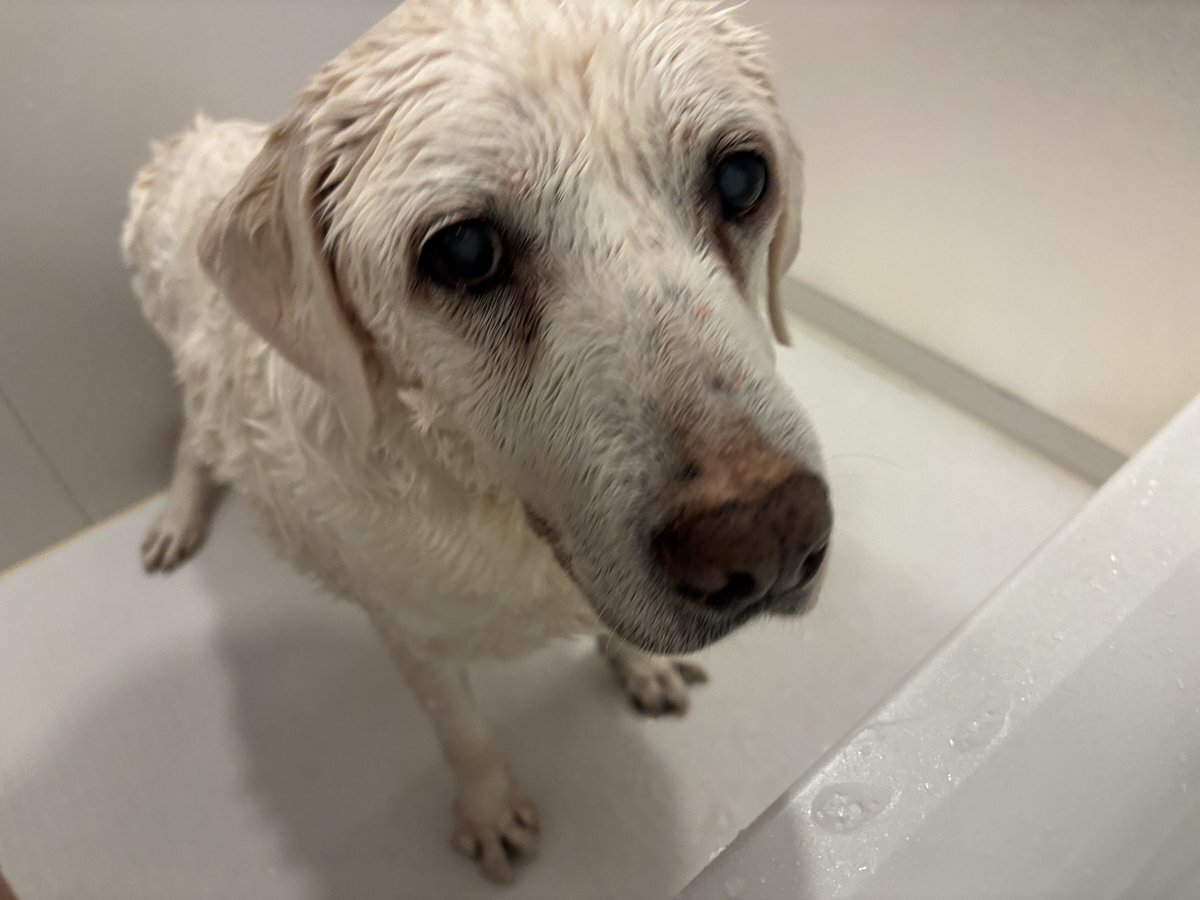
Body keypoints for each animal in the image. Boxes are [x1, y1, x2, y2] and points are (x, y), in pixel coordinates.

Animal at [121, 0, 832, 883]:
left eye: (741, 179)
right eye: (463, 252)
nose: (768, 537)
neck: (494, 504)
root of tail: (185, 140)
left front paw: (642, 669)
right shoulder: (409, 632)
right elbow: (463, 733)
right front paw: (491, 814)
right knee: (193, 434)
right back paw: (177, 518)